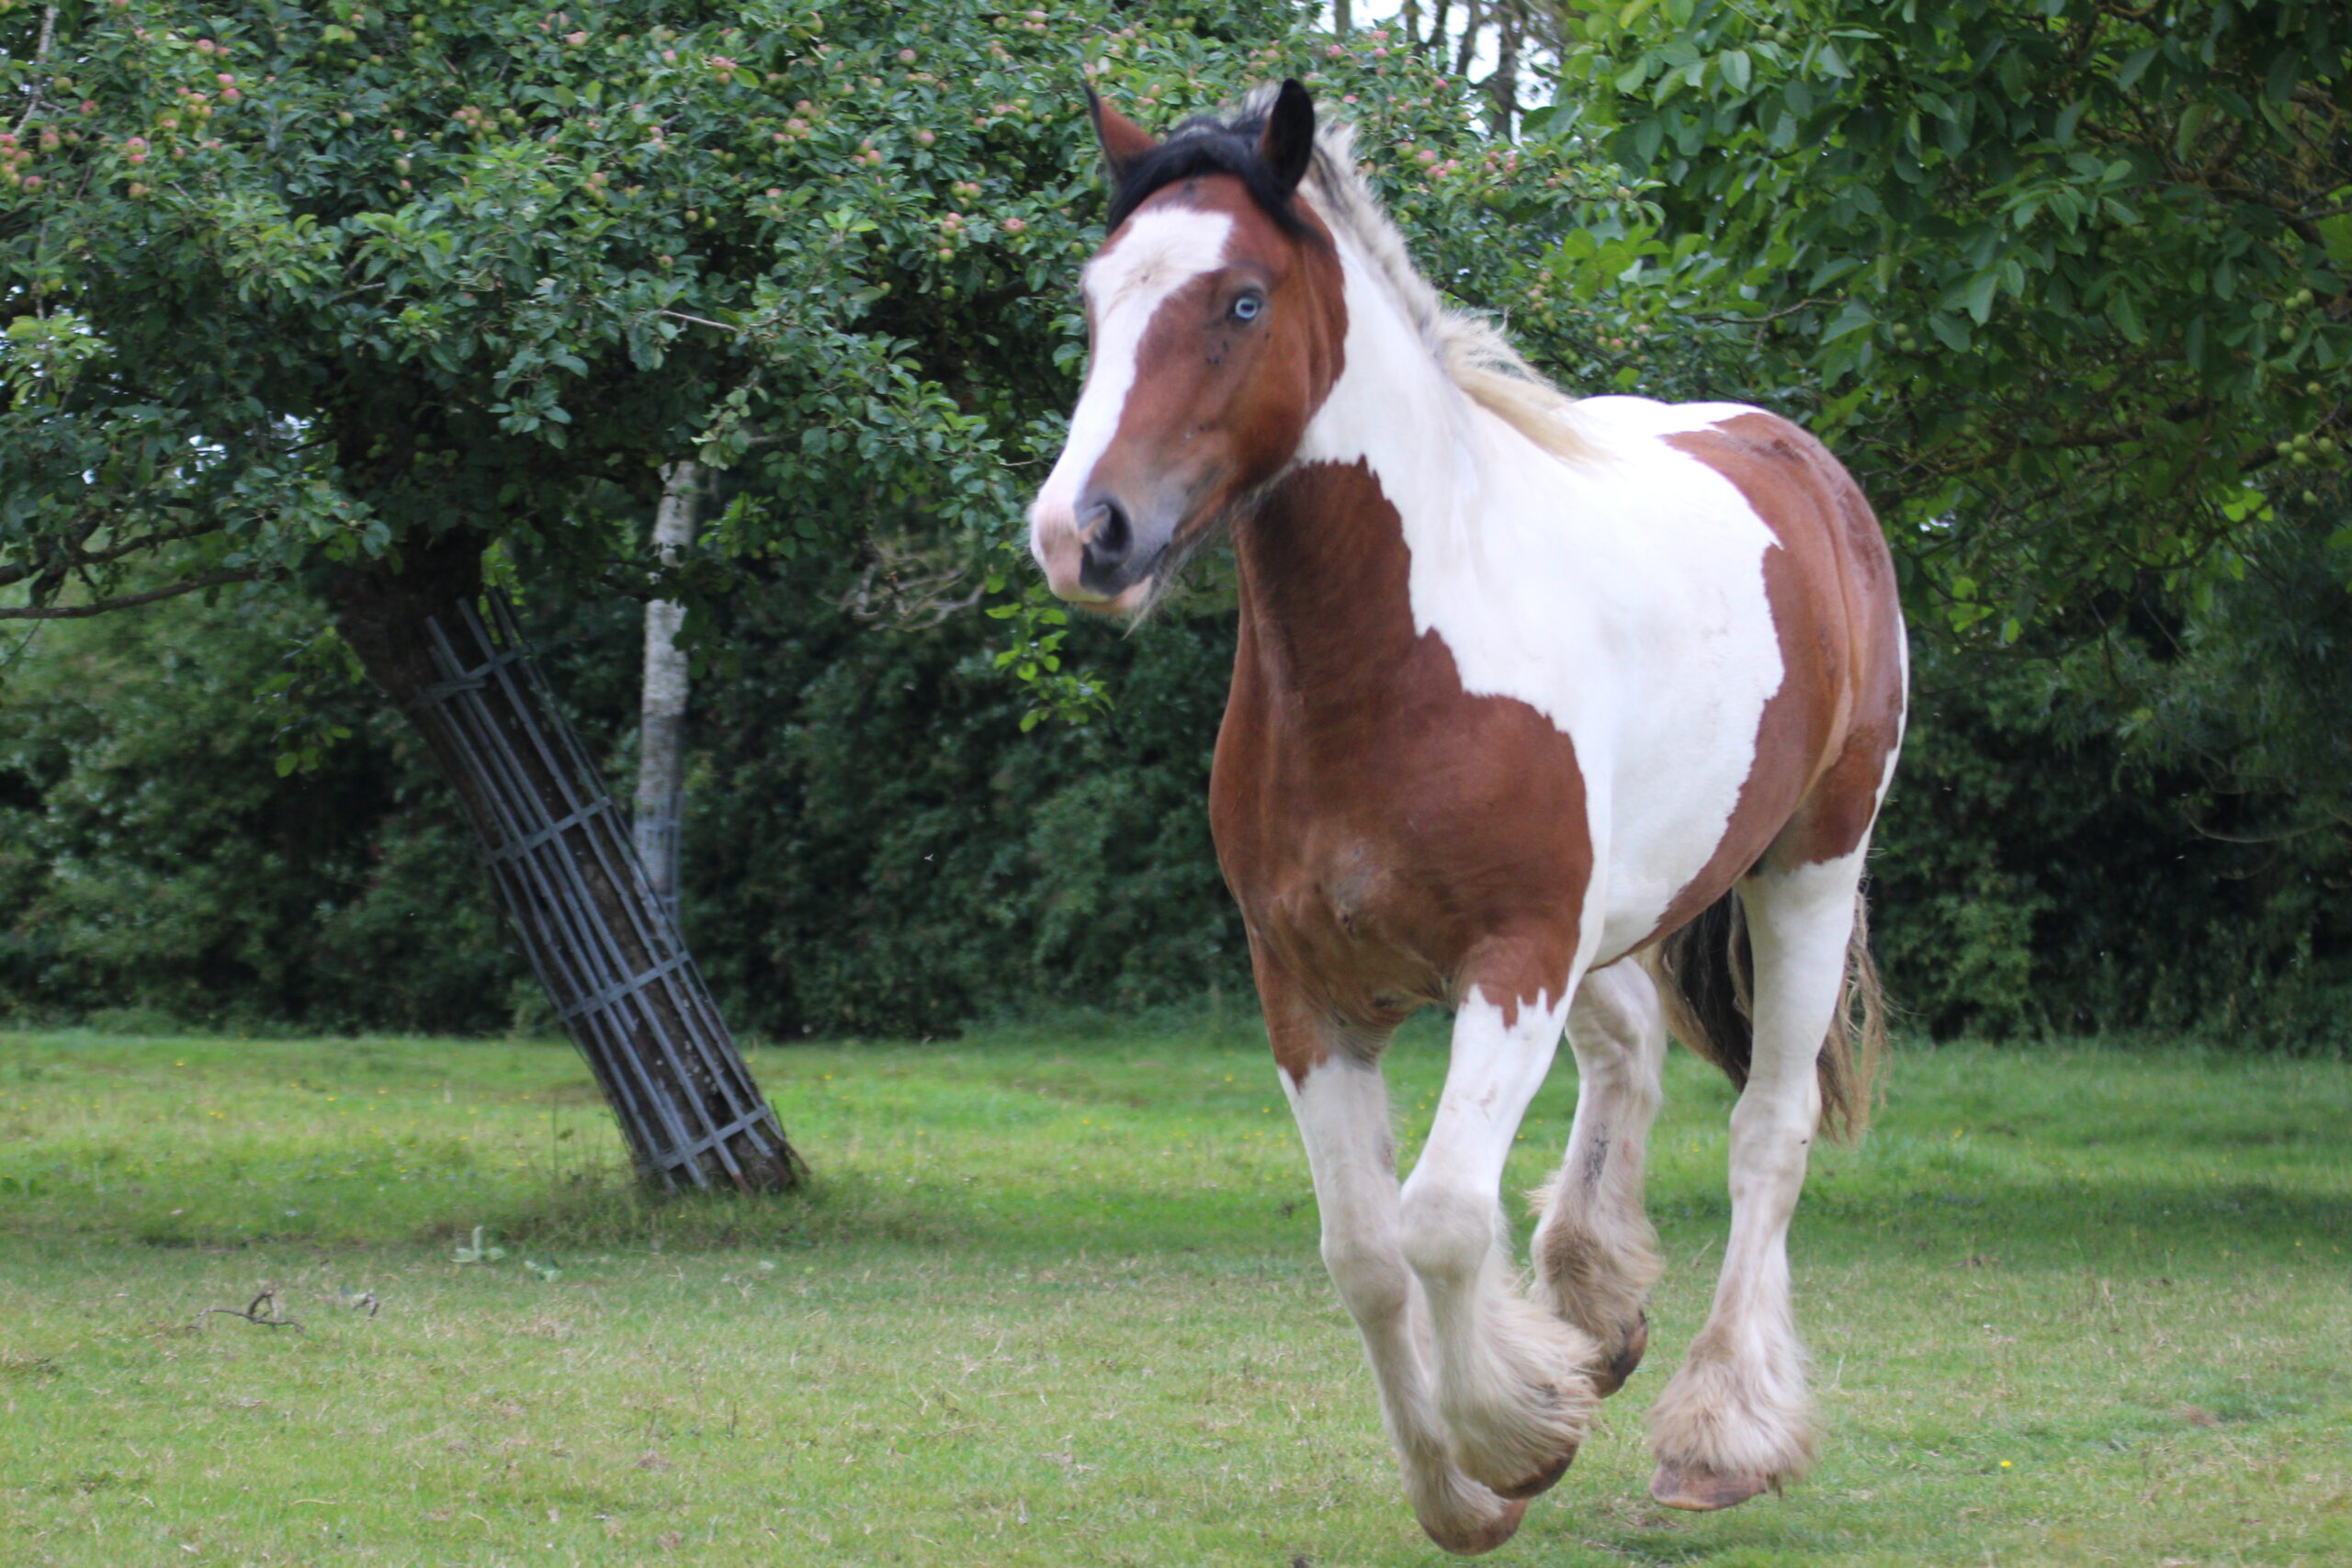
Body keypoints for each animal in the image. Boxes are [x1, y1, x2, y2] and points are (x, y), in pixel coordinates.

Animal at [1026, 80, 1906, 1554]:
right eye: (1097, 300)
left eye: (1242, 300)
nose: (1080, 533)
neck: (1395, 663)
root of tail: (1794, 459)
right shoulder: (1307, 990)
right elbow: (1363, 1249)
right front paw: (1464, 1483)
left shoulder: (1513, 961)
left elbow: (1436, 1218)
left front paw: (1514, 1434)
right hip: (1617, 923)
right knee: (1632, 1057)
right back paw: (1596, 1309)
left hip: (1807, 869)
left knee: (1767, 1132)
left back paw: (1718, 1432)